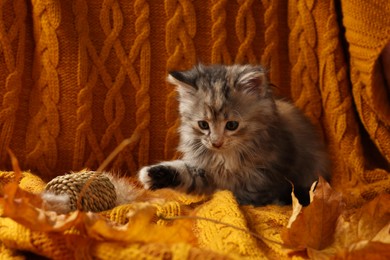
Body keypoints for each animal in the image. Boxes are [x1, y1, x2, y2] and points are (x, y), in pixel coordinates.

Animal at [137, 64, 330, 206]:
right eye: (203, 124)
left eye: (231, 125)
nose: (216, 143)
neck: (225, 157)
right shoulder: (206, 171)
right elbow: (185, 172)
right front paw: (153, 175)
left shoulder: (267, 174)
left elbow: (252, 194)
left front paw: (241, 202)